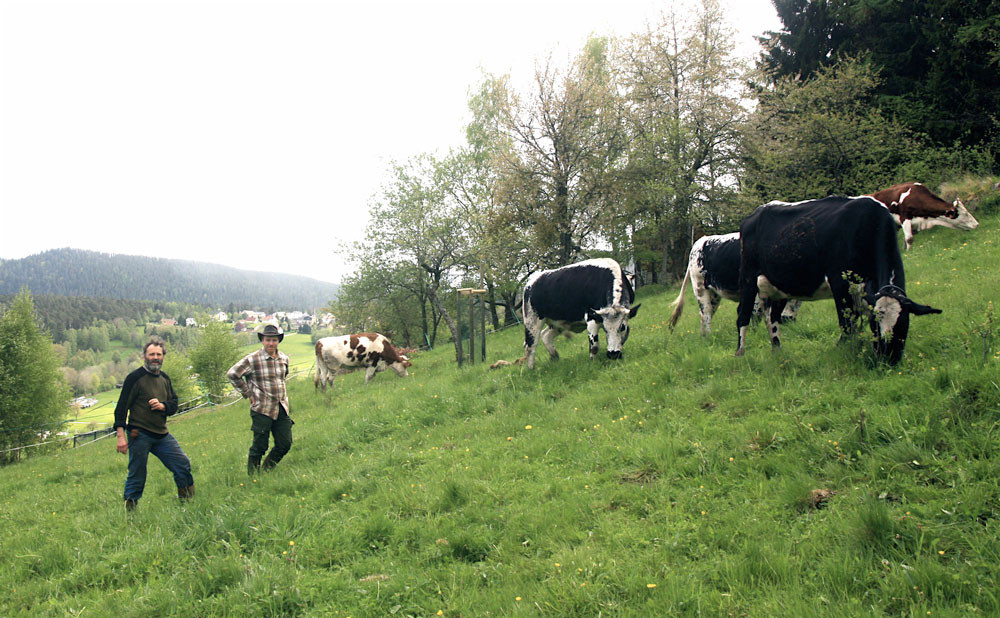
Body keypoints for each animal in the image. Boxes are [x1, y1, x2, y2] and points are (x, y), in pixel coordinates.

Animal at [672, 231, 804, 334]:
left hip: (714, 294)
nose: (788, 320)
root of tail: (700, 241)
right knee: (706, 313)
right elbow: (755, 314)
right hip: (701, 289)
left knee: (706, 314)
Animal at [732, 195, 940, 364]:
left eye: (903, 324)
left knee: (772, 318)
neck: (870, 224)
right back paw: (740, 354)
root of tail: (754, 214)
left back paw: (778, 351)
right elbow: (847, 323)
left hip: (780, 286)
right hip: (748, 277)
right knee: (743, 314)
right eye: (876, 324)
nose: (888, 359)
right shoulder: (839, 280)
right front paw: (843, 350)